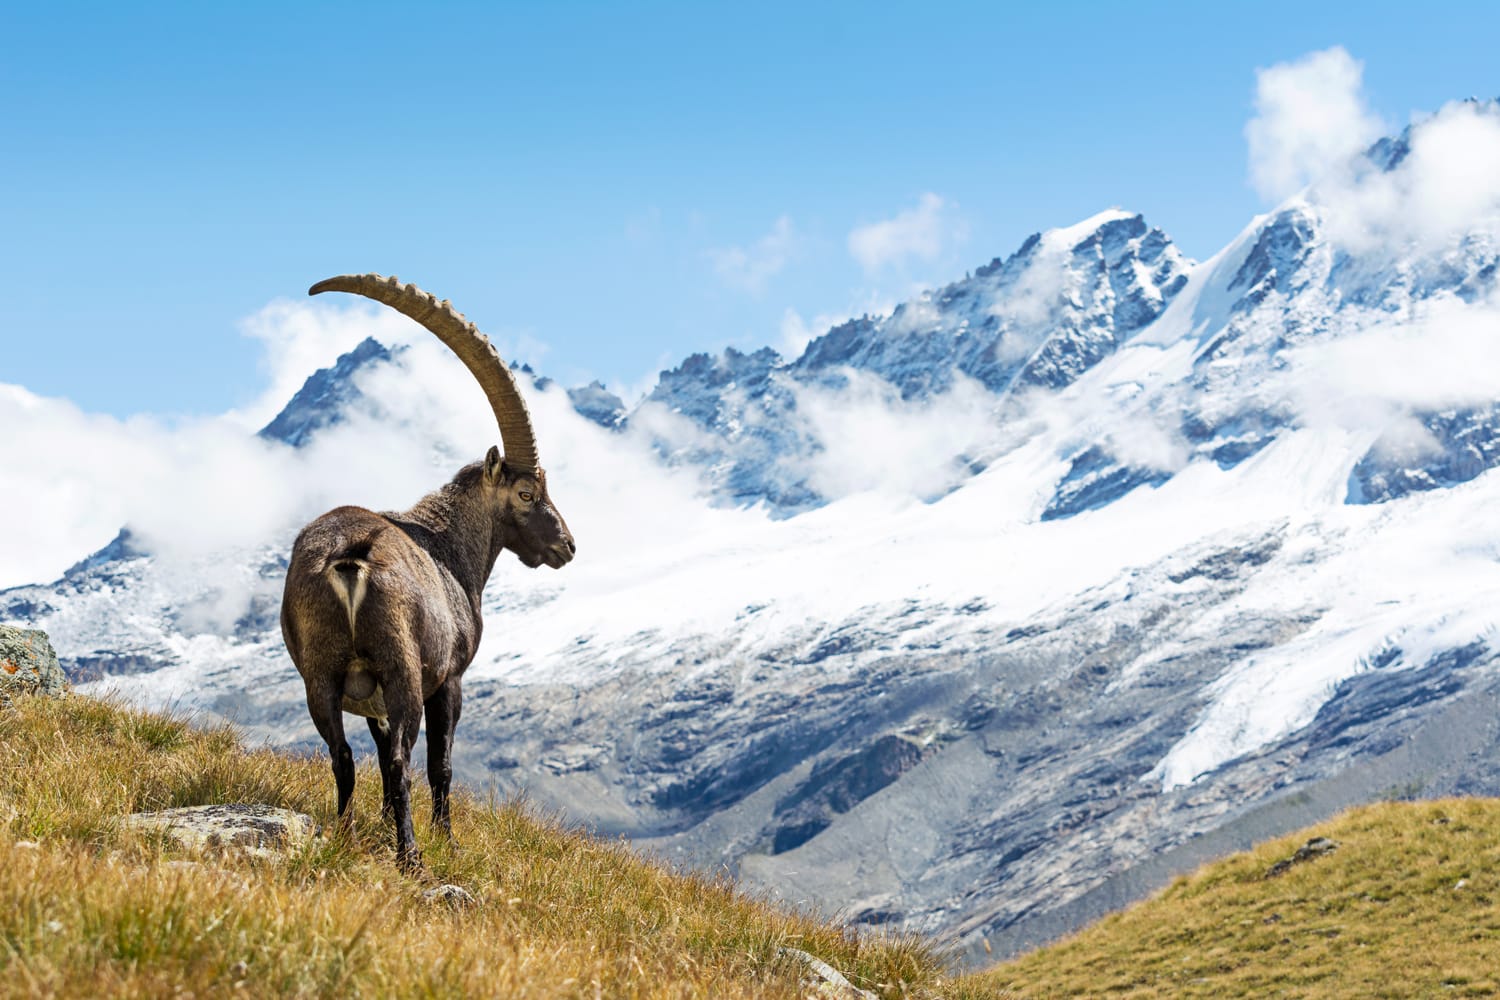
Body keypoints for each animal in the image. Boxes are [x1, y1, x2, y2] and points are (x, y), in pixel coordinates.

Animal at [280, 273, 575, 868]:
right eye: (527, 493)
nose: (567, 546)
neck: (448, 546)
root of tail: (350, 554)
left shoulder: (365, 697)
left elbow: (371, 751)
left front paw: (382, 823)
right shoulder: (450, 680)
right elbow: (441, 763)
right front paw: (447, 838)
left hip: (320, 673)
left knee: (343, 755)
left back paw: (346, 834)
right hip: (404, 672)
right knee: (401, 760)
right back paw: (411, 855)